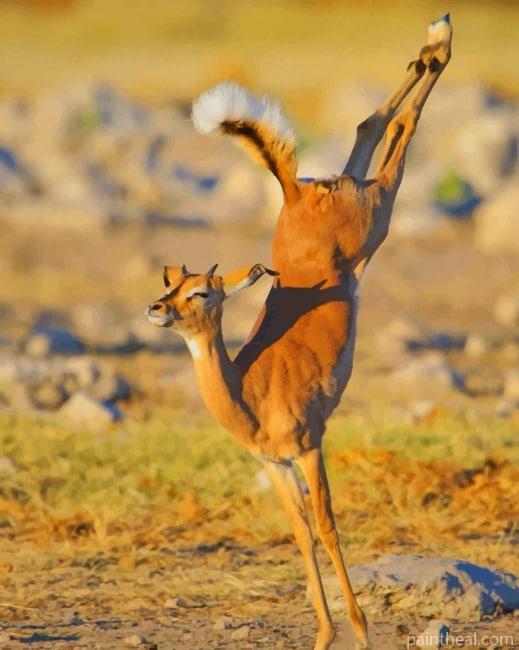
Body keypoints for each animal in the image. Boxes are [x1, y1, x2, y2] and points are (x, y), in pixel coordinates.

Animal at [146, 15, 452, 650]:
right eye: (170, 282)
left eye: (201, 291)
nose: (156, 309)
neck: (252, 398)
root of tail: (291, 191)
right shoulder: (275, 465)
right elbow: (302, 533)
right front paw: (325, 632)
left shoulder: (311, 447)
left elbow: (329, 527)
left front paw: (358, 628)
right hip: (362, 198)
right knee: (371, 125)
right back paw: (430, 44)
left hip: (379, 212)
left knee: (402, 131)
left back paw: (440, 41)